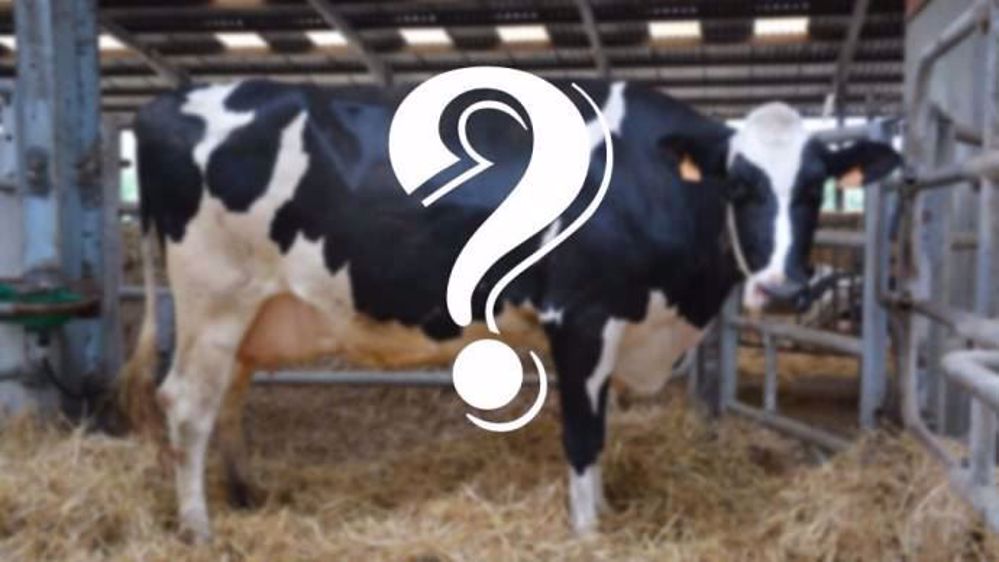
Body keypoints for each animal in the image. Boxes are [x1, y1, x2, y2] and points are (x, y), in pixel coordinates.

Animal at [120, 77, 900, 542]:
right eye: (738, 186)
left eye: (814, 188)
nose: (783, 288)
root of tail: (167, 101)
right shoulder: (580, 316)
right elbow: (583, 435)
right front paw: (589, 534)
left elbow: (600, 431)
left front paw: (601, 513)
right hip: (214, 297)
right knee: (186, 404)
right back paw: (199, 528)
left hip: (246, 314)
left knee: (228, 398)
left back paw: (244, 494)